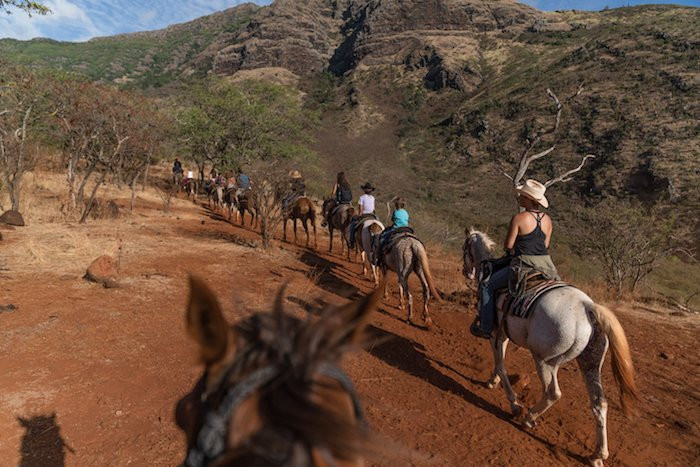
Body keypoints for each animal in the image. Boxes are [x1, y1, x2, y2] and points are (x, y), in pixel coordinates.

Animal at [462, 229, 636, 466]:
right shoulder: (502, 335)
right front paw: (492, 381)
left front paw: (513, 402)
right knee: (599, 403)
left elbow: (500, 364)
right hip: (590, 364)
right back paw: (598, 455)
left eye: (465, 248)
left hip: (545, 361)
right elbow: (500, 361)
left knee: (553, 393)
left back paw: (528, 418)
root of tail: (587, 307)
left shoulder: (495, 334)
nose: (466, 271)